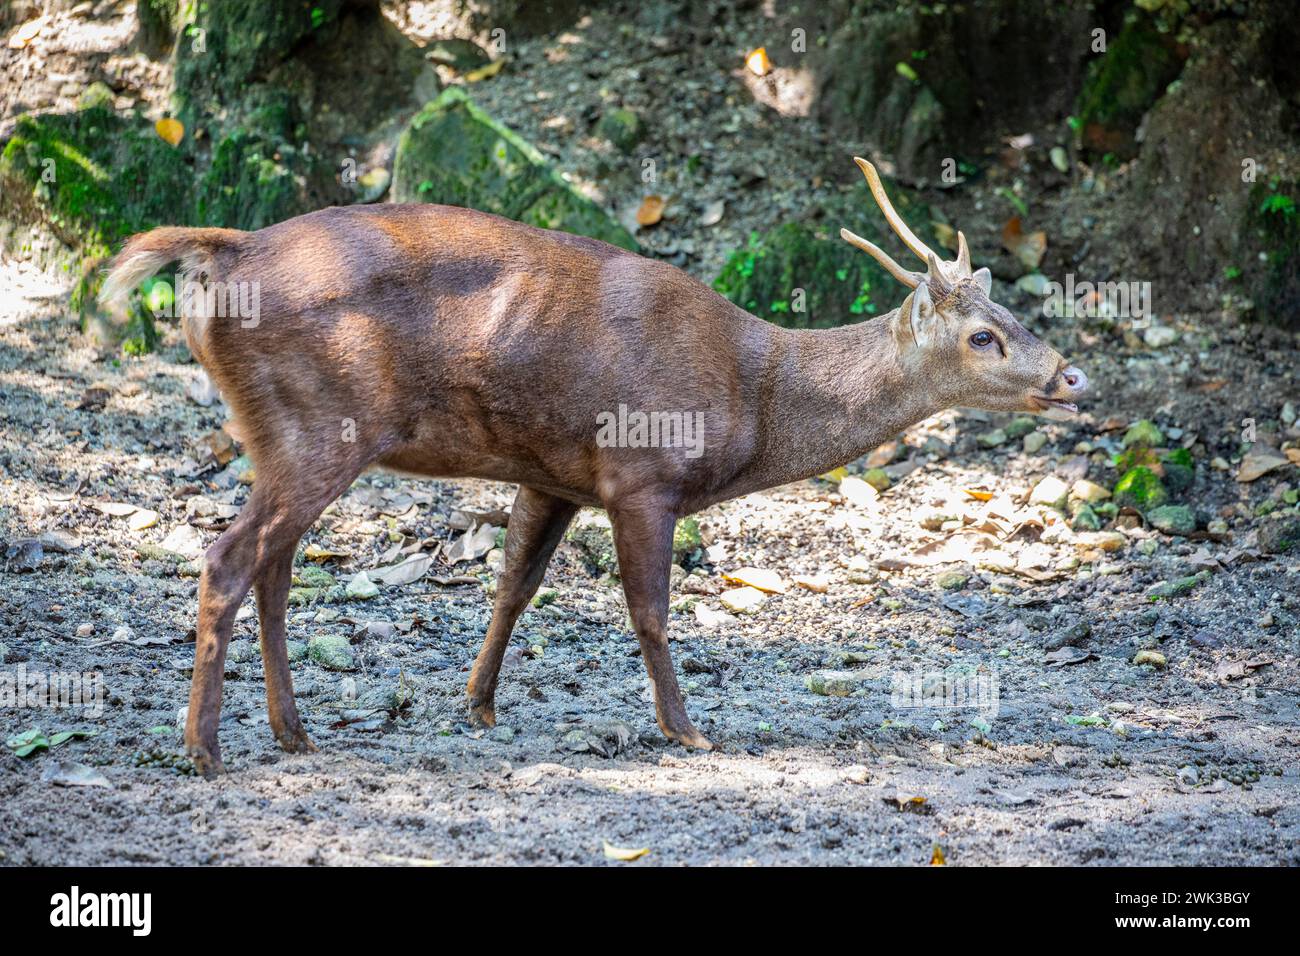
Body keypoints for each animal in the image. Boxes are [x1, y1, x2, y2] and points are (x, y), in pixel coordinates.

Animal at [98, 157, 1086, 780]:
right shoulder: (642, 473)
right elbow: (649, 610)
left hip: (285, 433)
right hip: (318, 424)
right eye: (984, 335)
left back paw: (294, 734)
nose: (1073, 376)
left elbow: (513, 584)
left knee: (273, 567)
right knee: (228, 560)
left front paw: (479, 705)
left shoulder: (555, 474)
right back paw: (206, 750)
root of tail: (221, 256)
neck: (754, 396)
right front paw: (687, 731)